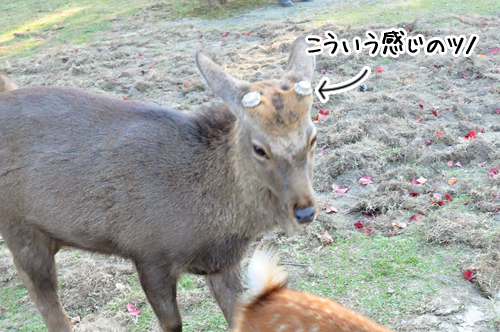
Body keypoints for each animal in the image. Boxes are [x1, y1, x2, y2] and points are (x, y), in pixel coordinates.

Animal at [0, 37, 316, 332]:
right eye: (259, 148)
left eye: (312, 137)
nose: (305, 211)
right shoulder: (149, 254)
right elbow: (172, 323)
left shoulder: (223, 262)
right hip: (20, 229)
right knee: (49, 307)